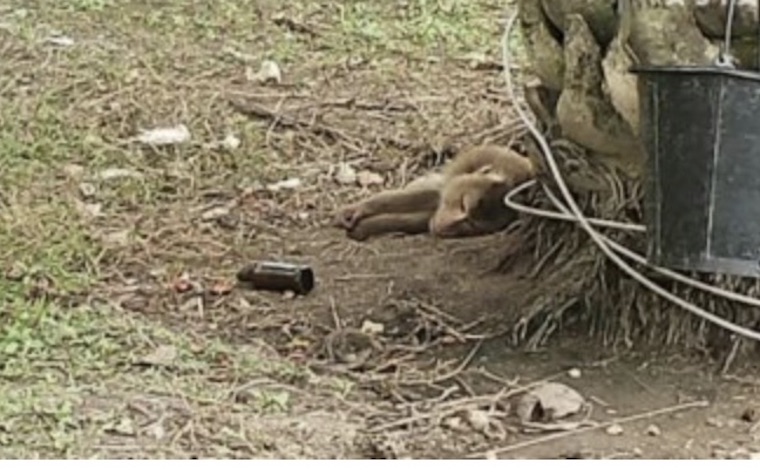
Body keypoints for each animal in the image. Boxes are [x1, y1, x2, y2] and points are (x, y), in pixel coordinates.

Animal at [334, 145, 538, 241]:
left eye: (471, 224)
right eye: (463, 204)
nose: (447, 224)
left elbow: (425, 218)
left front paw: (366, 227)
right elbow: (427, 197)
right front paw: (359, 209)